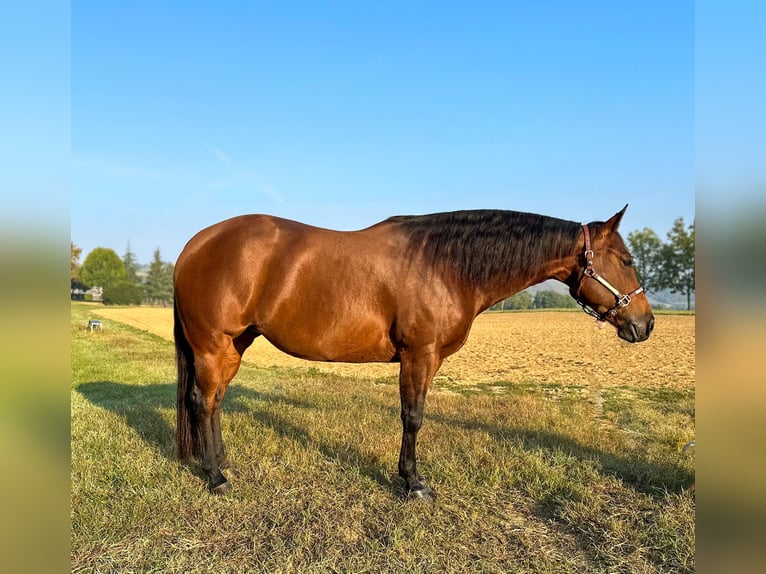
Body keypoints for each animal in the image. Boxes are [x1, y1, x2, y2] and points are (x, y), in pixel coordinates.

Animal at [174, 205, 654, 498]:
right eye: (627, 260)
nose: (645, 324)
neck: (444, 266)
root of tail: (195, 244)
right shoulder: (419, 355)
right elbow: (413, 417)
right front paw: (413, 483)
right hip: (212, 345)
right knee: (201, 401)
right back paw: (215, 476)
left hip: (234, 345)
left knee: (216, 402)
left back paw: (222, 464)